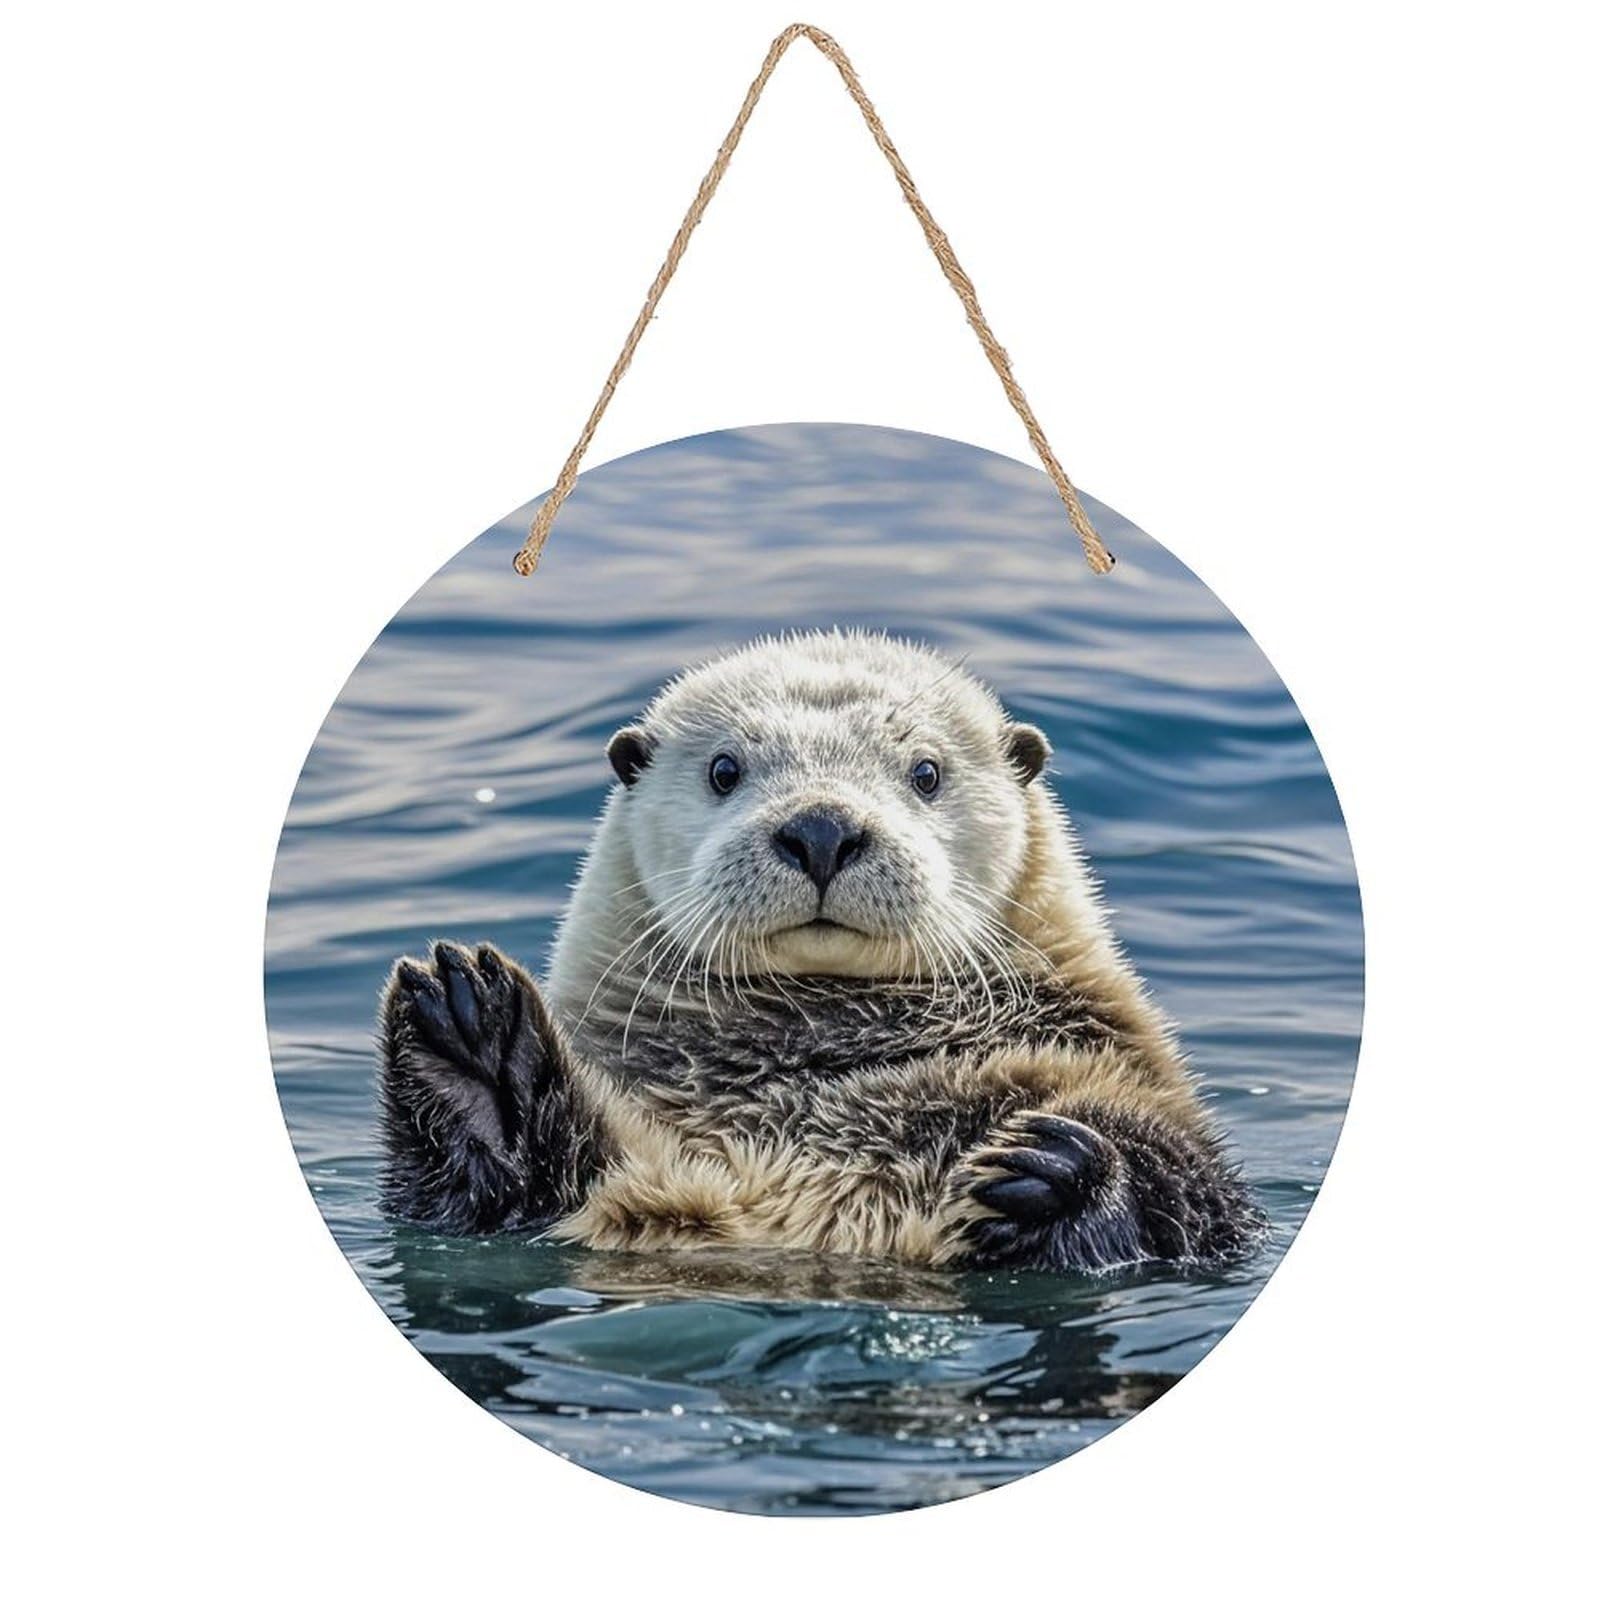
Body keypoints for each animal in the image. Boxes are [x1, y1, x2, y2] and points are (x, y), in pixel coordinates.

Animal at [378, 631, 1264, 1271]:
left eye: (927, 773)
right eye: (724, 769)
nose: (822, 828)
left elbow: (1197, 1193)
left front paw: (1056, 1167)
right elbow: (481, 1203)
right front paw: (469, 1033)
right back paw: (479, 1046)